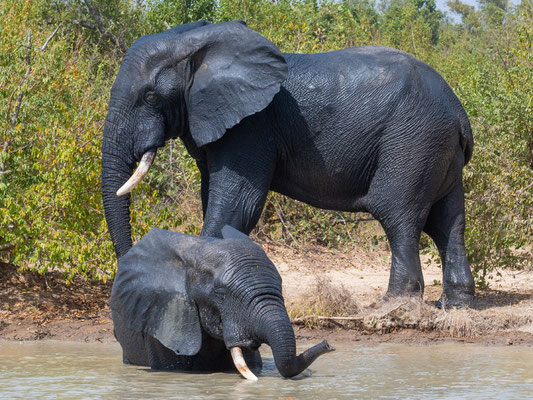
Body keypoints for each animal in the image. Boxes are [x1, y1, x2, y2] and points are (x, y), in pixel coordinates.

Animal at [101, 19, 474, 306]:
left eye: (150, 96)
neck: (195, 42)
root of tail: (458, 110)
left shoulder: (252, 125)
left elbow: (237, 202)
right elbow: (215, 197)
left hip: (414, 140)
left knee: (397, 214)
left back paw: (393, 306)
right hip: (437, 148)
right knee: (448, 221)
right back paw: (453, 305)